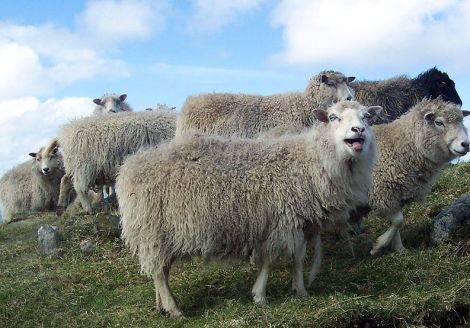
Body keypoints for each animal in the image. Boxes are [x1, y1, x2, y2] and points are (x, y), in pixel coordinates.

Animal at [116, 101, 382, 320]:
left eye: (367, 116)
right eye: (334, 117)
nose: (358, 130)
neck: (309, 163)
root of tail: (130, 166)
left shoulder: (299, 222)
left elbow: (298, 257)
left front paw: (300, 290)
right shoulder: (281, 220)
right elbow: (270, 260)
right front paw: (260, 296)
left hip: (159, 235)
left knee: (160, 270)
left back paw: (161, 305)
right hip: (153, 231)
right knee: (159, 273)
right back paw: (174, 309)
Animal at [346, 98, 468, 255]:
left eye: (462, 121)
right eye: (439, 122)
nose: (465, 144)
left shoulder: (396, 195)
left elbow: (397, 222)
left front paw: (399, 249)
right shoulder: (381, 193)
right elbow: (398, 220)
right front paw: (379, 245)